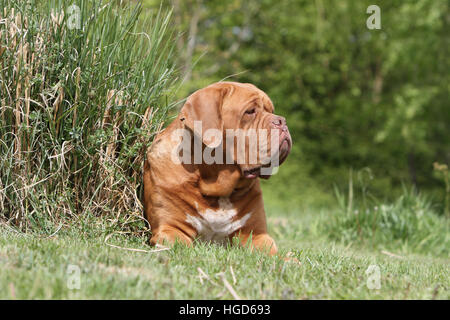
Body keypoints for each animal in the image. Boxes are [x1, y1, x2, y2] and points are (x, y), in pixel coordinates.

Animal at [144, 82, 292, 255]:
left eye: (271, 111)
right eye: (250, 111)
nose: (282, 121)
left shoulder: (255, 234)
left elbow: (273, 253)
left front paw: (290, 259)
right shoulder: (170, 228)